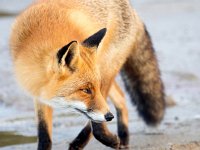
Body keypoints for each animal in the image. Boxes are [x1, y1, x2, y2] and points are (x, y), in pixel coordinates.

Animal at [10, 0, 165, 149]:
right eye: (85, 90)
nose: (110, 117)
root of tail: (131, 8)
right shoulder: (39, 94)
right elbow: (44, 137)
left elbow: (95, 123)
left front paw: (108, 139)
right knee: (121, 98)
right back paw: (123, 139)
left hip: (106, 70)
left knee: (99, 122)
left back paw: (89, 141)